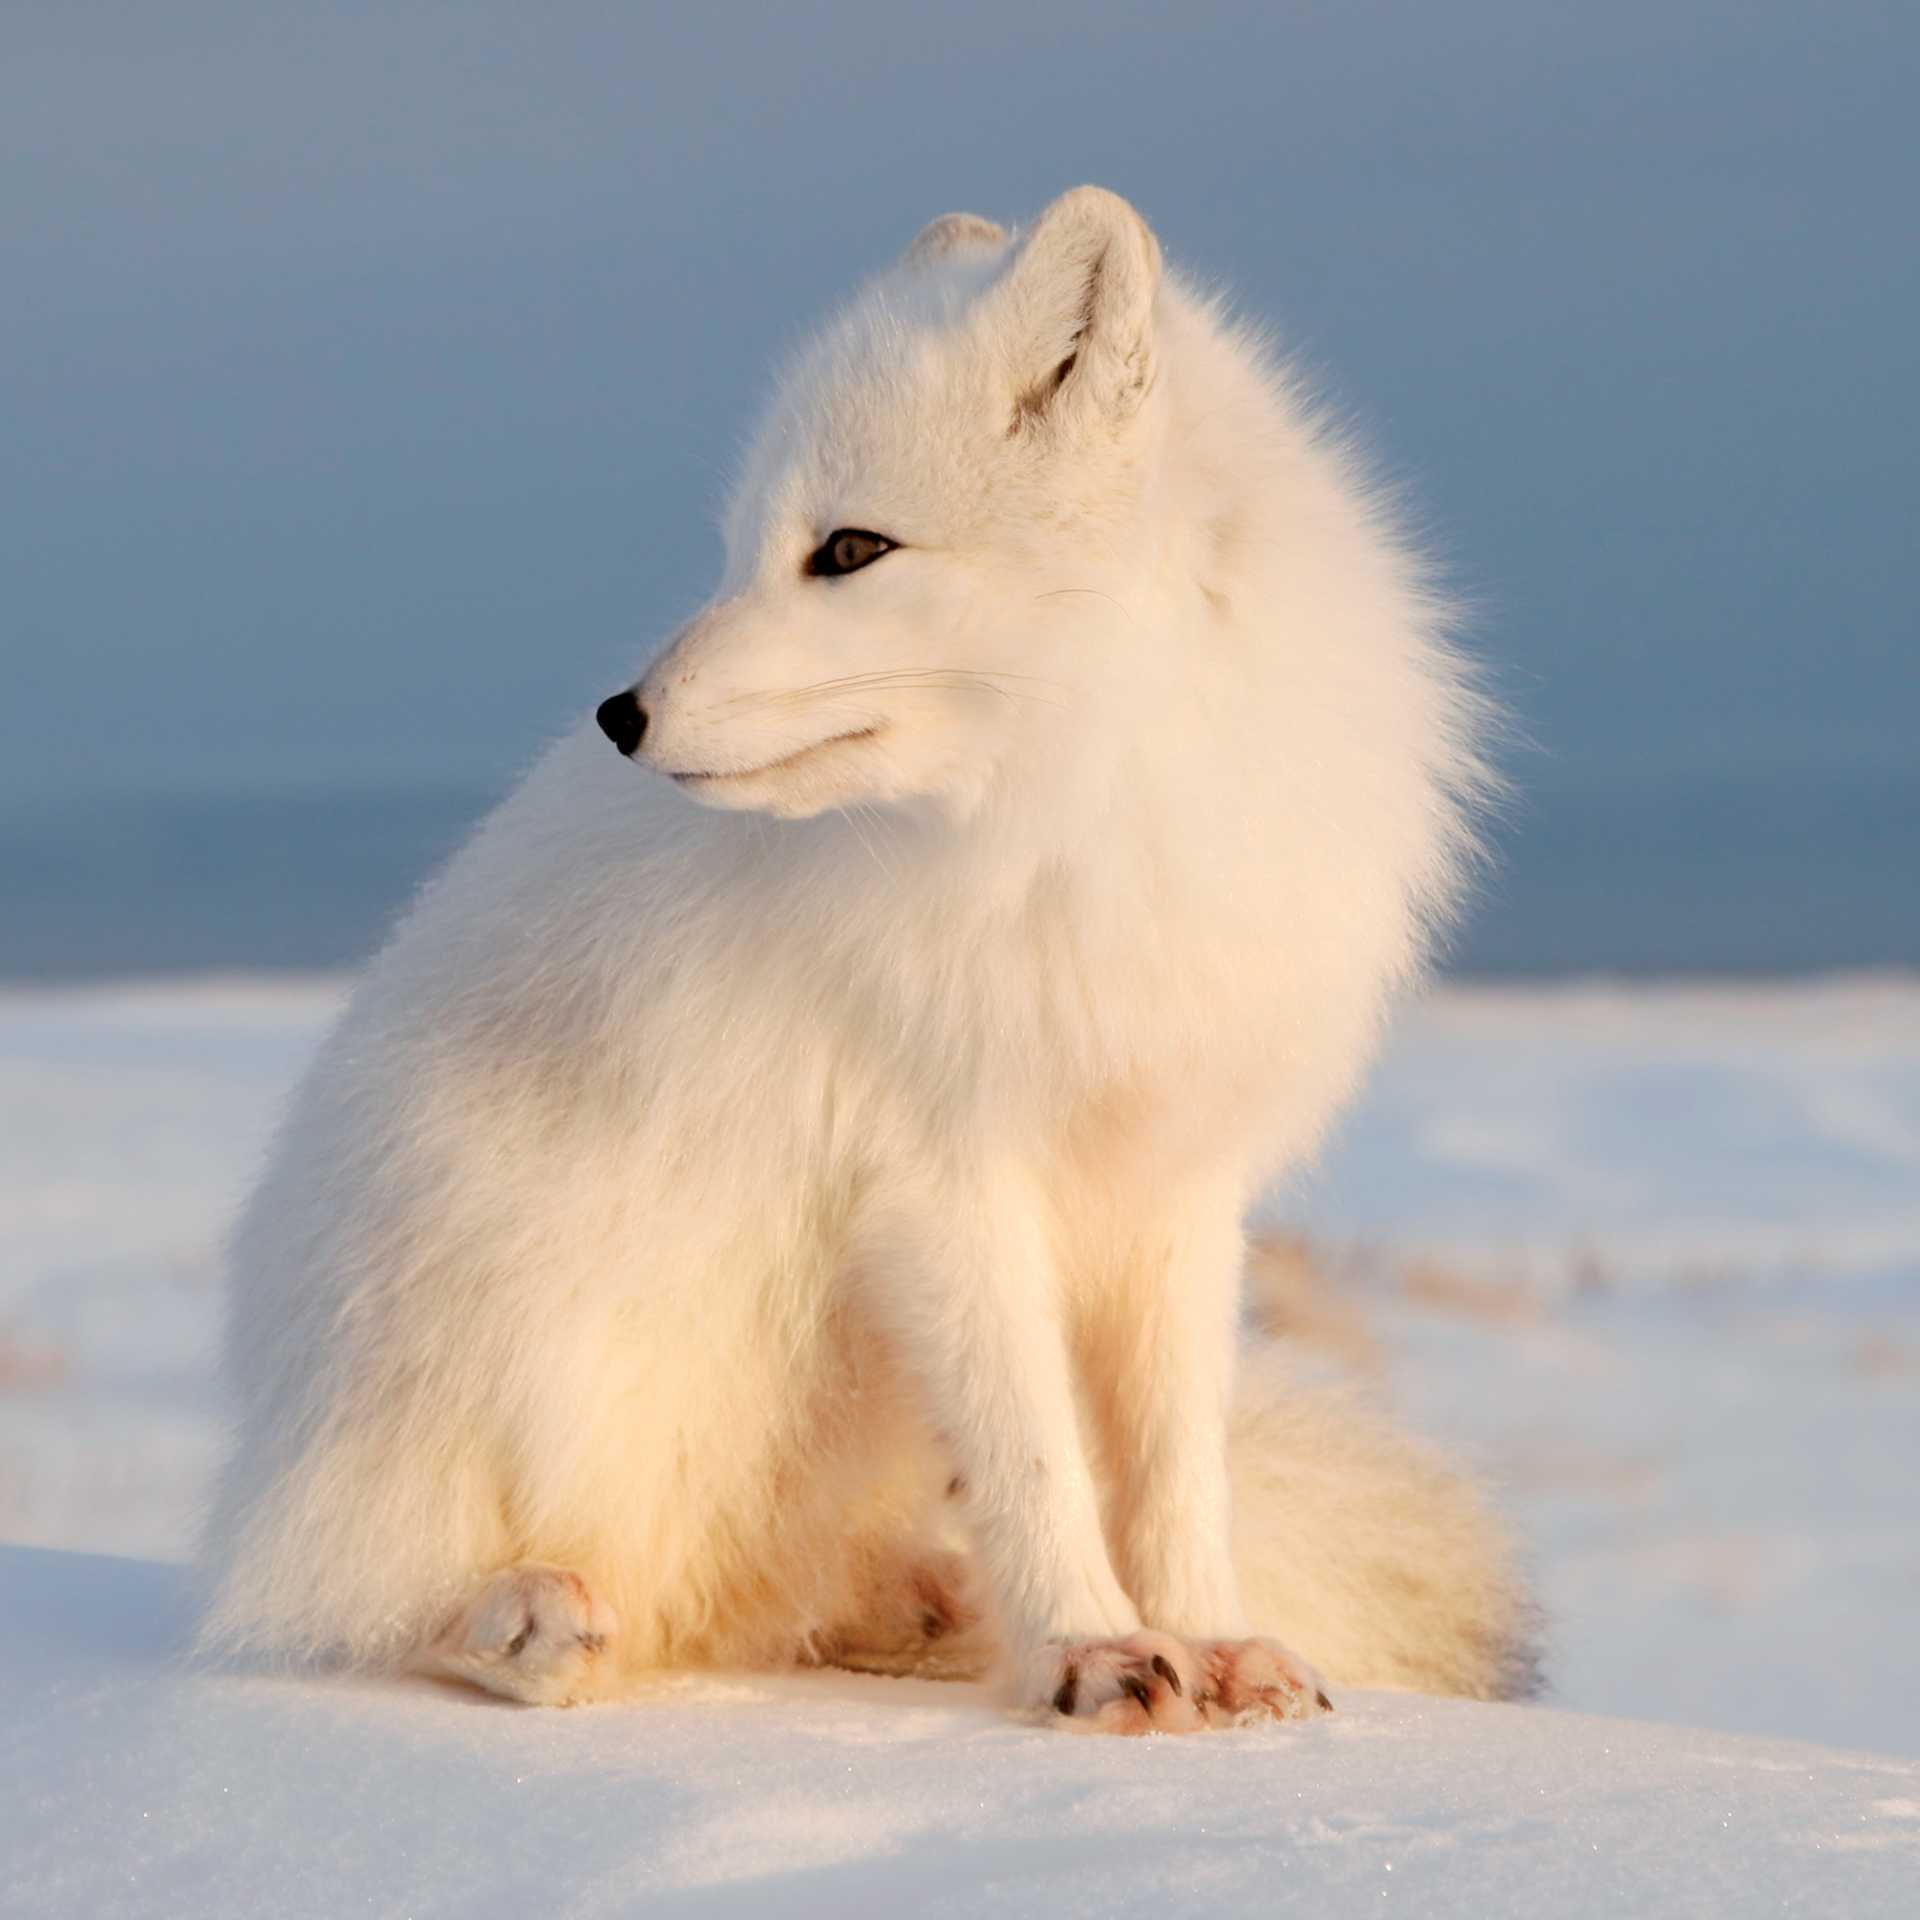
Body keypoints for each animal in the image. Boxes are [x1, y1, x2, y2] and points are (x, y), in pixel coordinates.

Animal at [199, 187, 1534, 1732]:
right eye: (741, 549)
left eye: (847, 551)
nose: (620, 715)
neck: (1076, 820)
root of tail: (266, 1458)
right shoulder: (940, 1177)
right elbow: (1037, 1456)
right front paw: (1089, 1645)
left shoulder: (1176, 1185)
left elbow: (1171, 1469)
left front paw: (1209, 1636)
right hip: (537, 1313)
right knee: (370, 1598)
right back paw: (525, 1621)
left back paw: (921, 1603)